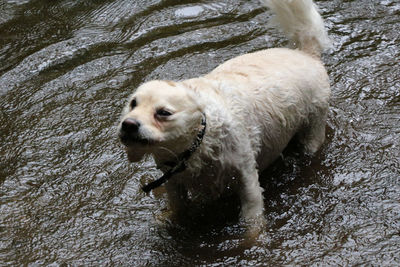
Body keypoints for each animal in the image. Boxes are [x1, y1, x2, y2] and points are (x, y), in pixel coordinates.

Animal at [118, 0, 332, 228]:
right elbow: (177, 208)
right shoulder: (174, 183)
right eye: (133, 103)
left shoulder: (247, 178)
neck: (198, 142)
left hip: (314, 125)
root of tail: (306, 53)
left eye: (163, 113)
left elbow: (252, 218)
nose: (128, 124)